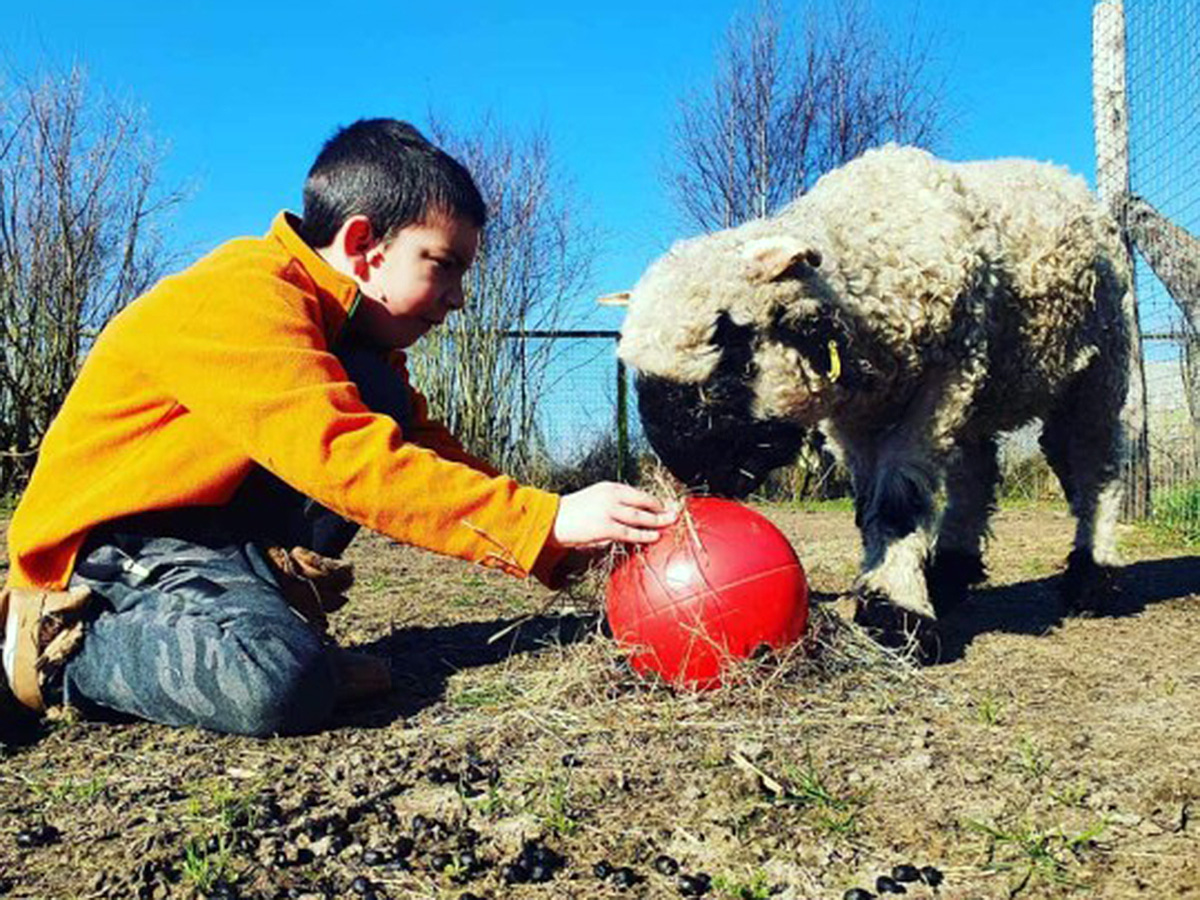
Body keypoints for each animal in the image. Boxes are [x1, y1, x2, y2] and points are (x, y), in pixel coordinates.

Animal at [619, 144, 1132, 643]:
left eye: (731, 344)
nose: (690, 471)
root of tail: (1055, 171)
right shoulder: (855, 418)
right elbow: (869, 505)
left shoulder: (942, 383)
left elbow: (898, 502)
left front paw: (896, 610)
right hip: (983, 388)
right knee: (976, 472)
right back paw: (951, 573)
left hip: (1099, 365)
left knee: (1095, 466)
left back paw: (1093, 576)